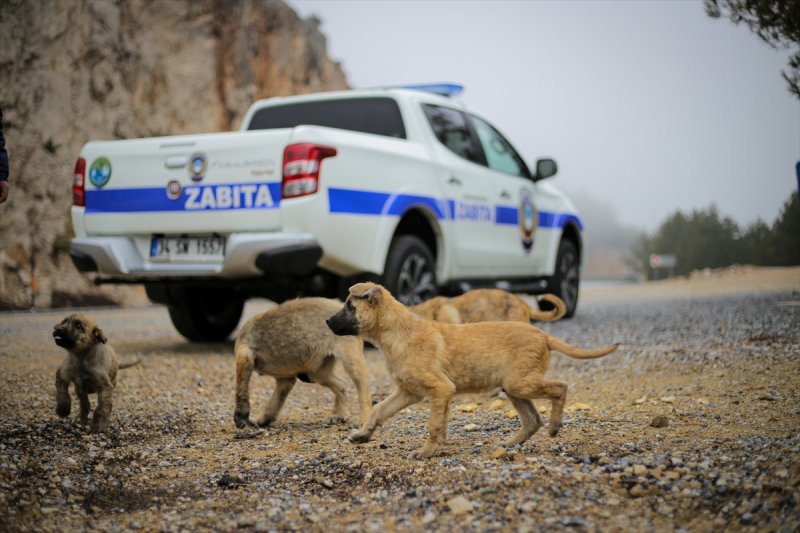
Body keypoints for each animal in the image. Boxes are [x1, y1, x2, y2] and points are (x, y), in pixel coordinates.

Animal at [233, 298, 374, 430]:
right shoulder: (286, 379)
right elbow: (274, 402)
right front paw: (262, 420)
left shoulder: (245, 356)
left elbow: (241, 389)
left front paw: (241, 418)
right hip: (316, 374)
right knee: (341, 385)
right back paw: (337, 415)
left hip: (350, 361)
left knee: (363, 389)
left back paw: (364, 419)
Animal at [326, 280, 620, 460]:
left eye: (350, 306)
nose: (327, 321)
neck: (399, 333)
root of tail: (543, 335)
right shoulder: (409, 392)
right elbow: (379, 410)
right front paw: (363, 435)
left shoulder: (440, 389)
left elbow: (433, 424)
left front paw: (426, 452)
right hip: (513, 387)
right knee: (532, 419)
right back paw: (510, 443)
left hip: (520, 383)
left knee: (560, 388)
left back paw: (555, 426)